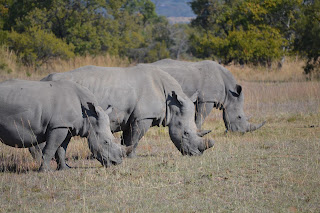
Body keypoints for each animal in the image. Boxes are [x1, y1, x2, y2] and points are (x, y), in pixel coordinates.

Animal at [0, 79, 131, 171]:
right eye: (106, 142)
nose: (117, 163)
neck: (89, 117)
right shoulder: (58, 126)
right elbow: (50, 148)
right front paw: (45, 171)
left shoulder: (67, 126)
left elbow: (61, 149)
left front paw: (64, 168)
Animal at [39, 65, 215, 158]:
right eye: (185, 133)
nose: (196, 154)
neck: (172, 101)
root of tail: (42, 79)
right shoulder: (143, 117)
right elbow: (135, 138)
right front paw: (132, 156)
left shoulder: (131, 117)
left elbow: (127, 138)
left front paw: (125, 154)